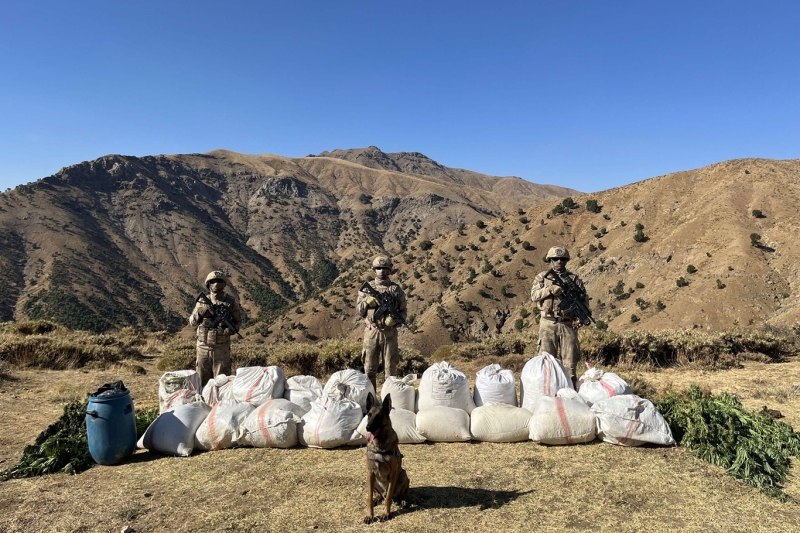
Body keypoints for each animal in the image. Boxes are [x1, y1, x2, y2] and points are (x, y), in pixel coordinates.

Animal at [364, 390, 410, 524]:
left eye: (379, 416)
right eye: (369, 415)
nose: (368, 428)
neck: (380, 447)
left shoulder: (393, 473)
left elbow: (389, 497)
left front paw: (385, 513)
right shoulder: (370, 472)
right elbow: (369, 497)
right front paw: (369, 515)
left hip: (404, 475)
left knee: (400, 494)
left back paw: (402, 501)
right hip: (372, 481)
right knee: (379, 495)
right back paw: (377, 498)